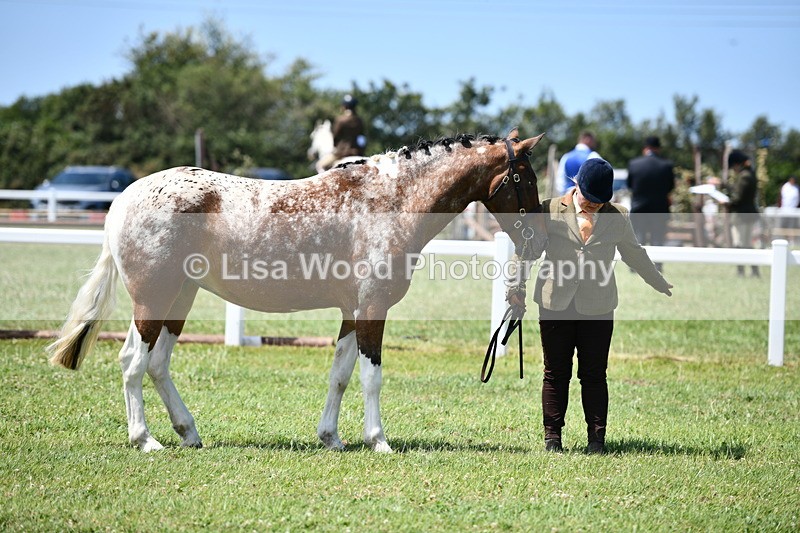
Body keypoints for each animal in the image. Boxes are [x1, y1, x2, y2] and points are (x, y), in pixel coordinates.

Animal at [48, 129, 548, 453]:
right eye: (526, 177)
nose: (538, 240)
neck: (392, 200)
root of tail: (122, 200)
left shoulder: (352, 312)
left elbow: (340, 375)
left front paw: (331, 437)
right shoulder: (372, 308)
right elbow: (371, 377)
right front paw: (378, 440)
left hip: (180, 299)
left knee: (156, 364)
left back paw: (188, 432)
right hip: (152, 300)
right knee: (132, 362)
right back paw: (145, 439)